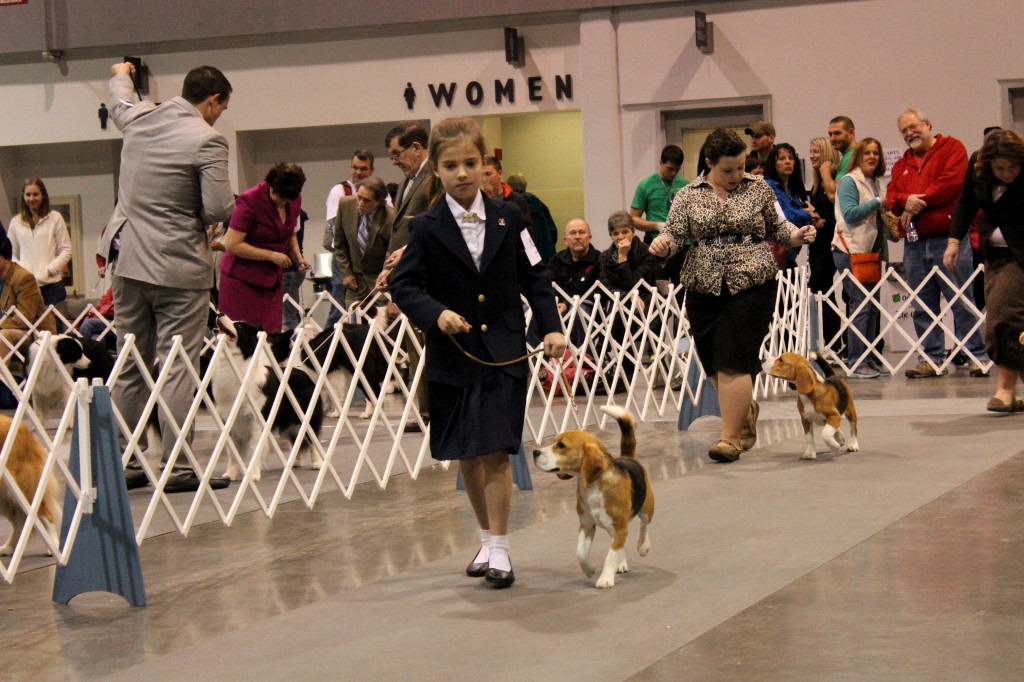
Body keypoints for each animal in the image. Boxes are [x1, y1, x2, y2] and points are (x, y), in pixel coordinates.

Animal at [207, 315, 319, 481]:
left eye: (239, 326)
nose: (219, 314)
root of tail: (301, 372)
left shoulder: (256, 423)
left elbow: (254, 450)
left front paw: (252, 476)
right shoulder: (229, 422)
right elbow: (232, 454)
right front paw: (230, 475)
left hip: (305, 416)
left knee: (311, 439)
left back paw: (317, 463)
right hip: (286, 422)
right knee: (295, 440)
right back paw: (295, 462)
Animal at [532, 403, 651, 585]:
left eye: (561, 446)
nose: (535, 452)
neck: (592, 487)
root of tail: (627, 458)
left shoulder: (619, 526)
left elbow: (610, 556)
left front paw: (605, 579)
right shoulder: (587, 525)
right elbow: (580, 553)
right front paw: (590, 570)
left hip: (645, 508)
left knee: (643, 524)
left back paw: (643, 546)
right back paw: (621, 562)